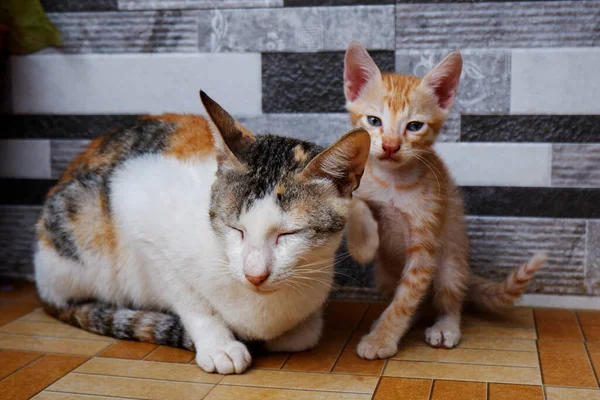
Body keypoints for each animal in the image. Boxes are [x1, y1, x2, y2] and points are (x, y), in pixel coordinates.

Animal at [342, 41, 544, 360]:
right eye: (374, 121)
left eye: (414, 126)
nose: (390, 146)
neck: (392, 181)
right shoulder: (361, 188)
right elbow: (355, 203)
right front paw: (363, 243)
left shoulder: (427, 240)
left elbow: (407, 297)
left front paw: (382, 339)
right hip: (384, 274)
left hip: (451, 261)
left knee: (445, 297)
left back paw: (445, 325)